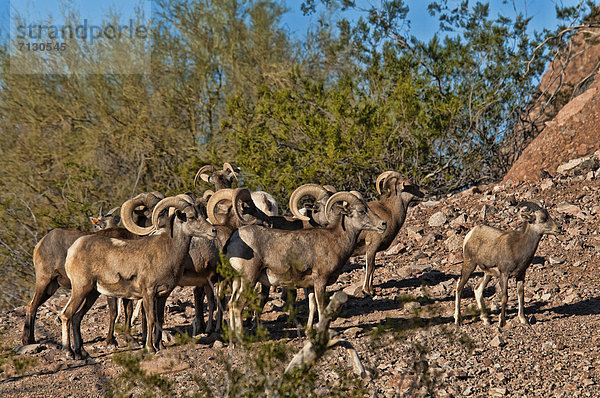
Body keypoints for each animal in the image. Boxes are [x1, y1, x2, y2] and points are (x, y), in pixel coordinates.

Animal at [21, 194, 158, 346]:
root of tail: (40, 244)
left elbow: (128, 310)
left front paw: (130, 339)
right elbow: (114, 312)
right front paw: (111, 341)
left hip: (52, 287)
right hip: (44, 281)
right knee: (32, 305)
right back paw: (28, 340)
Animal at [58, 196, 217, 358]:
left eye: (201, 214)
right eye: (191, 217)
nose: (213, 231)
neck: (168, 251)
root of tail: (73, 249)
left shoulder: (163, 295)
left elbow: (160, 319)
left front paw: (160, 346)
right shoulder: (148, 293)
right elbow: (150, 319)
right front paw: (150, 348)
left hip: (91, 293)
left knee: (76, 317)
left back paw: (82, 353)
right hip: (81, 289)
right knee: (66, 315)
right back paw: (69, 352)